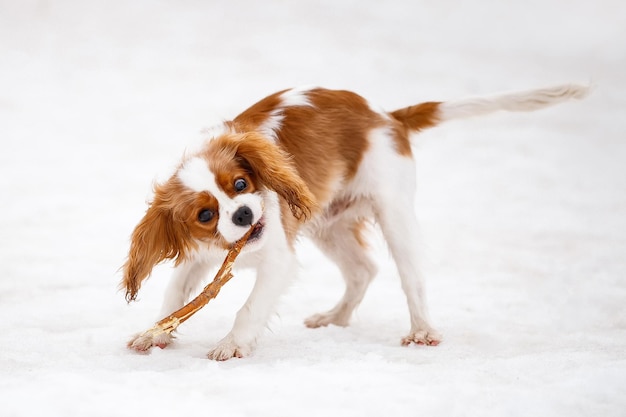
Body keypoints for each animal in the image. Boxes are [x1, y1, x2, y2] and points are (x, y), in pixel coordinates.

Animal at [120, 83, 584, 358]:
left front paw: (232, 345)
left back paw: (422, 331)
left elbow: (249, 307)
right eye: (206, 214)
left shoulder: (277, 261)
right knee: (363, 269)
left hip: (394, 214)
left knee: (411, 279)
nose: (245, 213)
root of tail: (387, 116)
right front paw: (154, 334)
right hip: (329, 224)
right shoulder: (197, 259)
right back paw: (335, 318)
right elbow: (174, 297)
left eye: (240, 183)